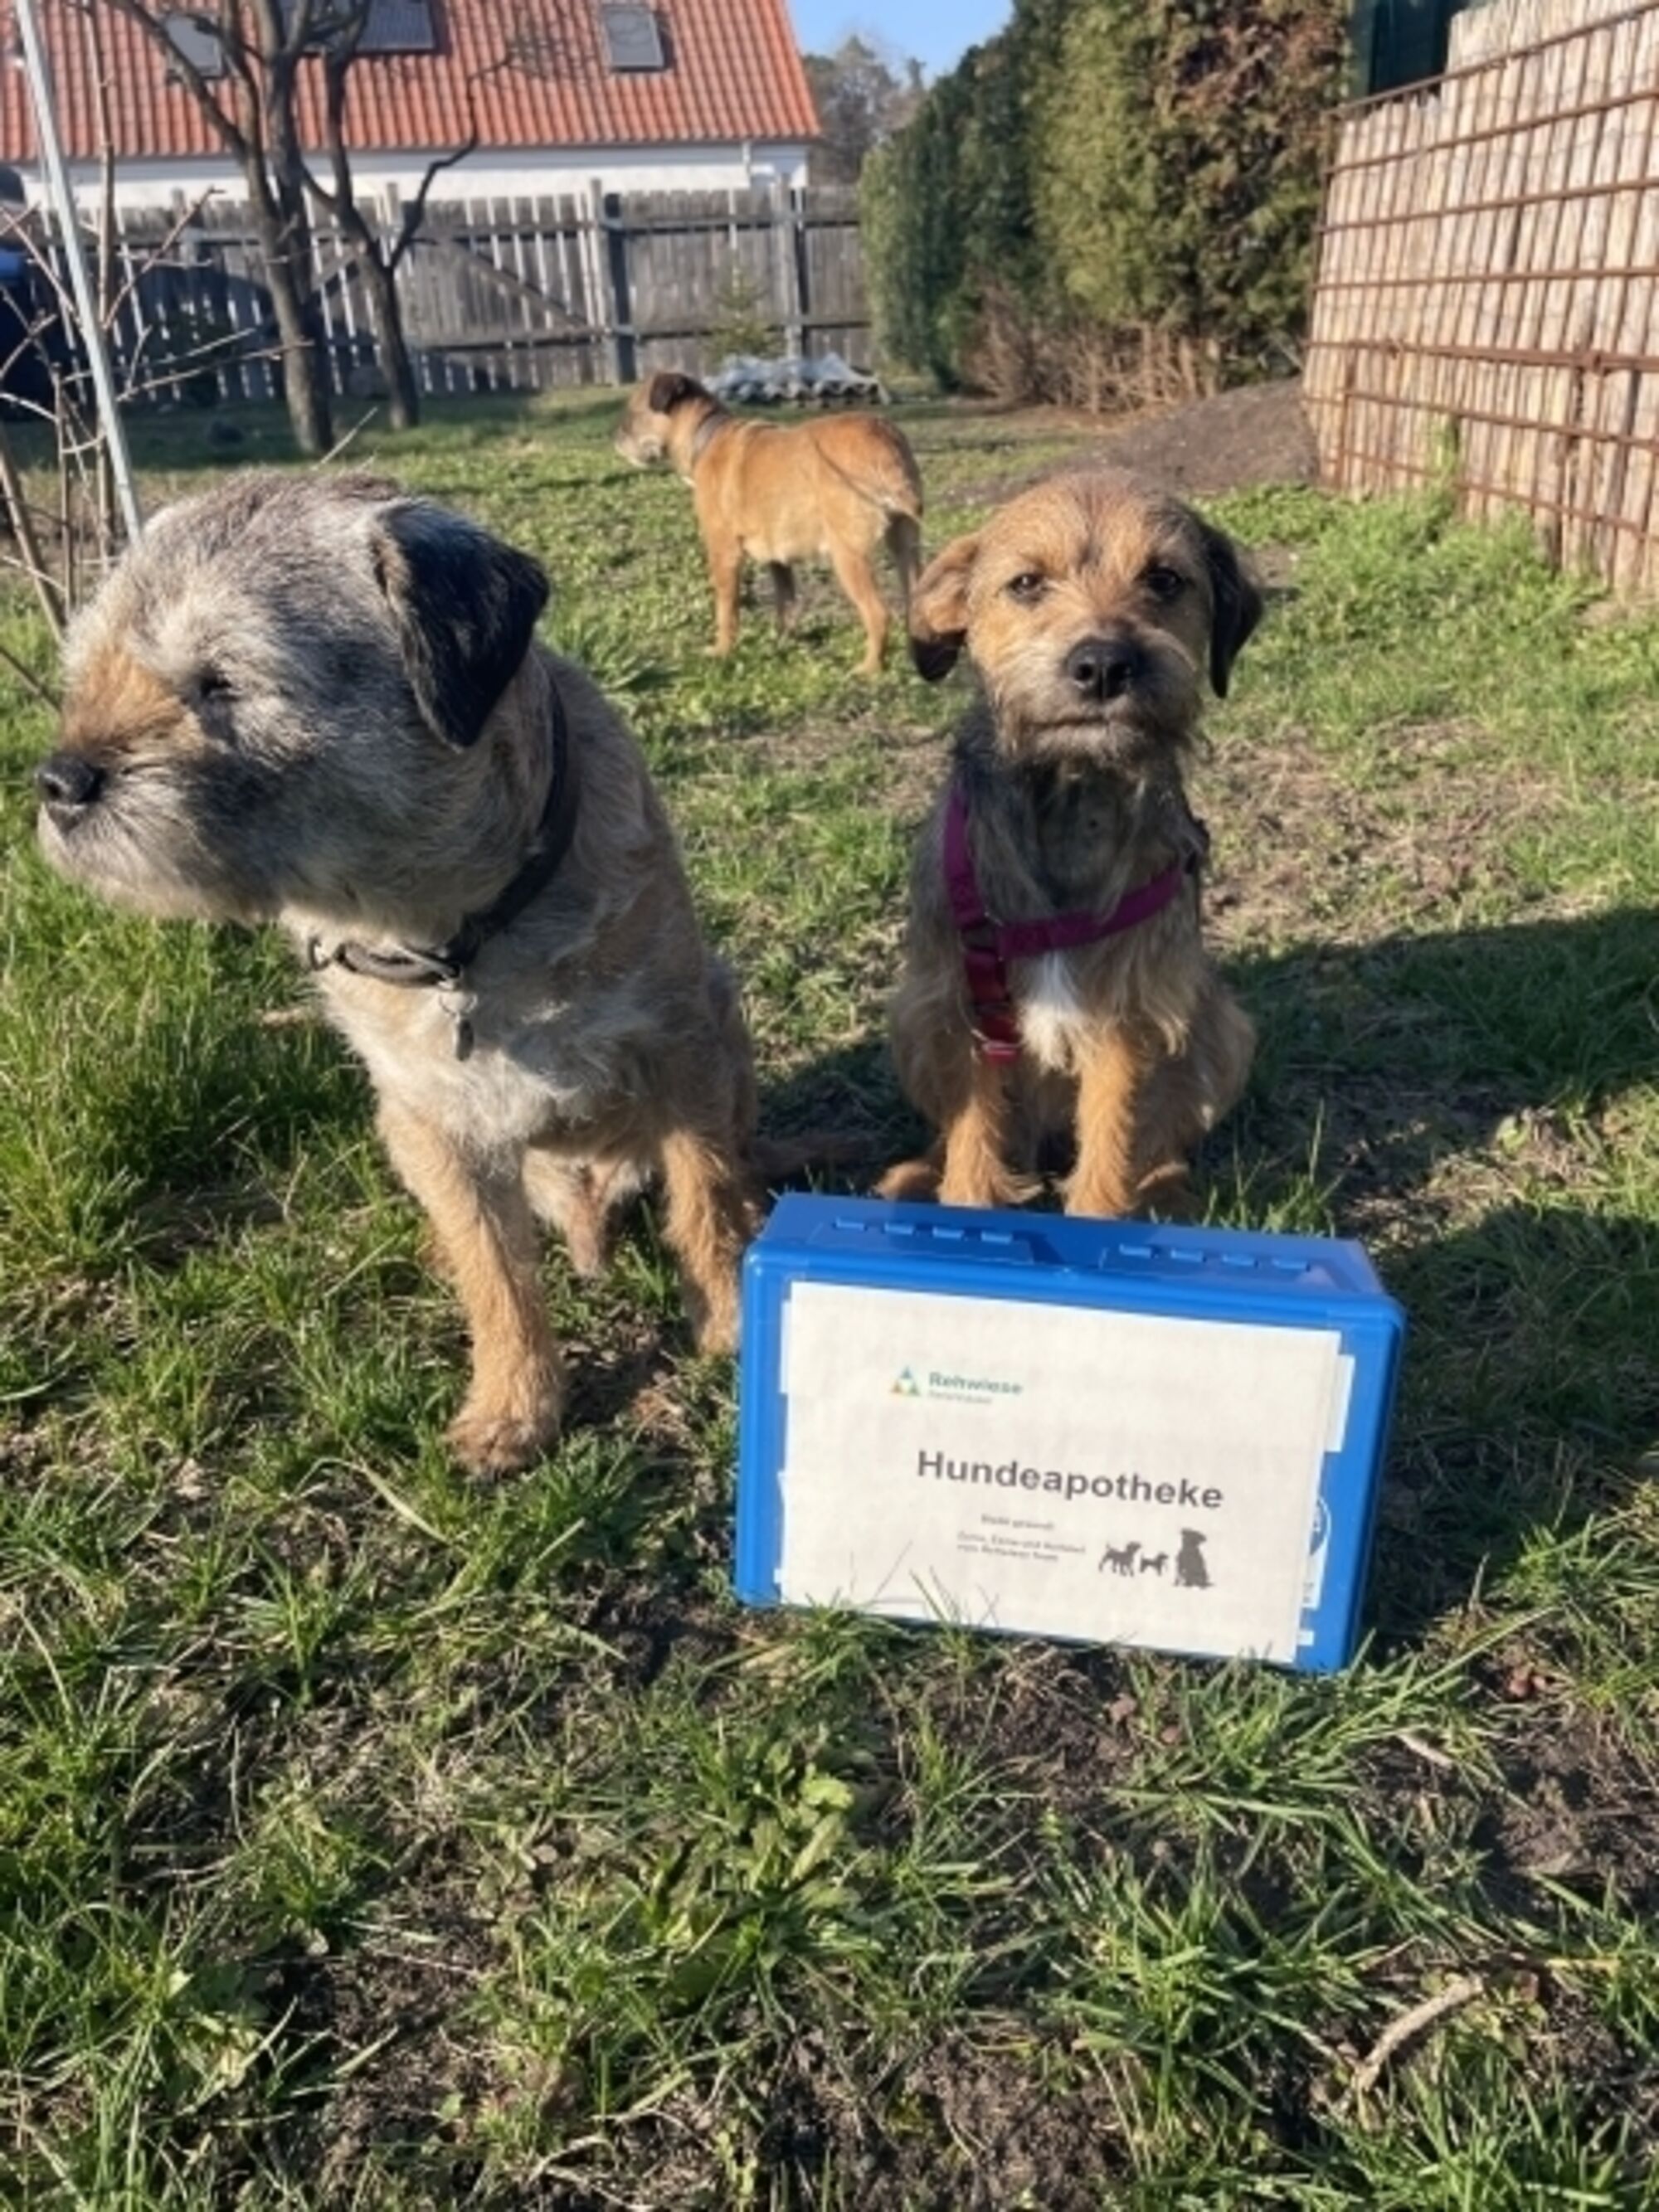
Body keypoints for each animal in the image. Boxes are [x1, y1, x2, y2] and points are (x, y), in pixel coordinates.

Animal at [34, 471, 757, 1476]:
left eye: (222, 681)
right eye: (91, 666)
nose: (58, 783)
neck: (452, 931)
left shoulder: (679, 1045)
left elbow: (706, 1193)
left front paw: (730, 1320)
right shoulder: (431, 1118)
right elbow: (497, 1275)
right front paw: (513, 1407)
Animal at [614, 370, 924, 674]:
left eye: (632, 413)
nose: (616, 437)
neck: (705, 435)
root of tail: (882, 435)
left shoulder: (723, 554)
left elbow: (726, 609)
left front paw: (722, 650)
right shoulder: (778, 559)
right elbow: (785, 604)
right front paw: (781, 643)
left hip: (848, 556)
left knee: (878, 613)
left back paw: (870, 668)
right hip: (905, 547)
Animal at [878, 465, 1262, 1221]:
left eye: (1165, 579)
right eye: (1027, 583)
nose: (1104, 665)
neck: (1069, 794)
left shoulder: (1129, 1014)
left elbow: (1112, 1144)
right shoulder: (959, 1011)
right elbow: (973, 1143)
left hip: (1223, 1025)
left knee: (1161, 1134)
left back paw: (1167, 1188)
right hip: (911, 1022)